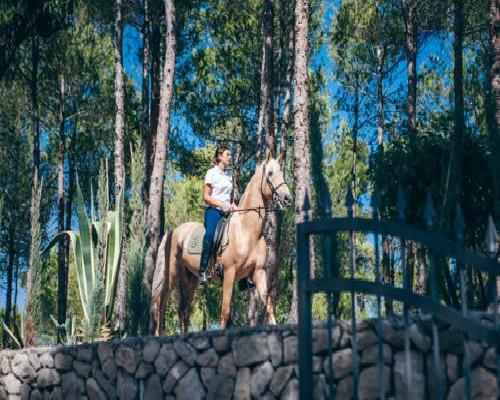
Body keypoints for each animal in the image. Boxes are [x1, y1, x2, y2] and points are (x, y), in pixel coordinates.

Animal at [152, 154, 292, 334]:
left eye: (281, 172)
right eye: (270, 173)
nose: (287, 199)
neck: (247, 230)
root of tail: (172, 232)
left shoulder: (258, 272)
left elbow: (268, 306)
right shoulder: (229, 273)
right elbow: (225, 311)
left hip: (190, 279)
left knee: (183, 310)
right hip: (171, 275)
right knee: (161, 304)